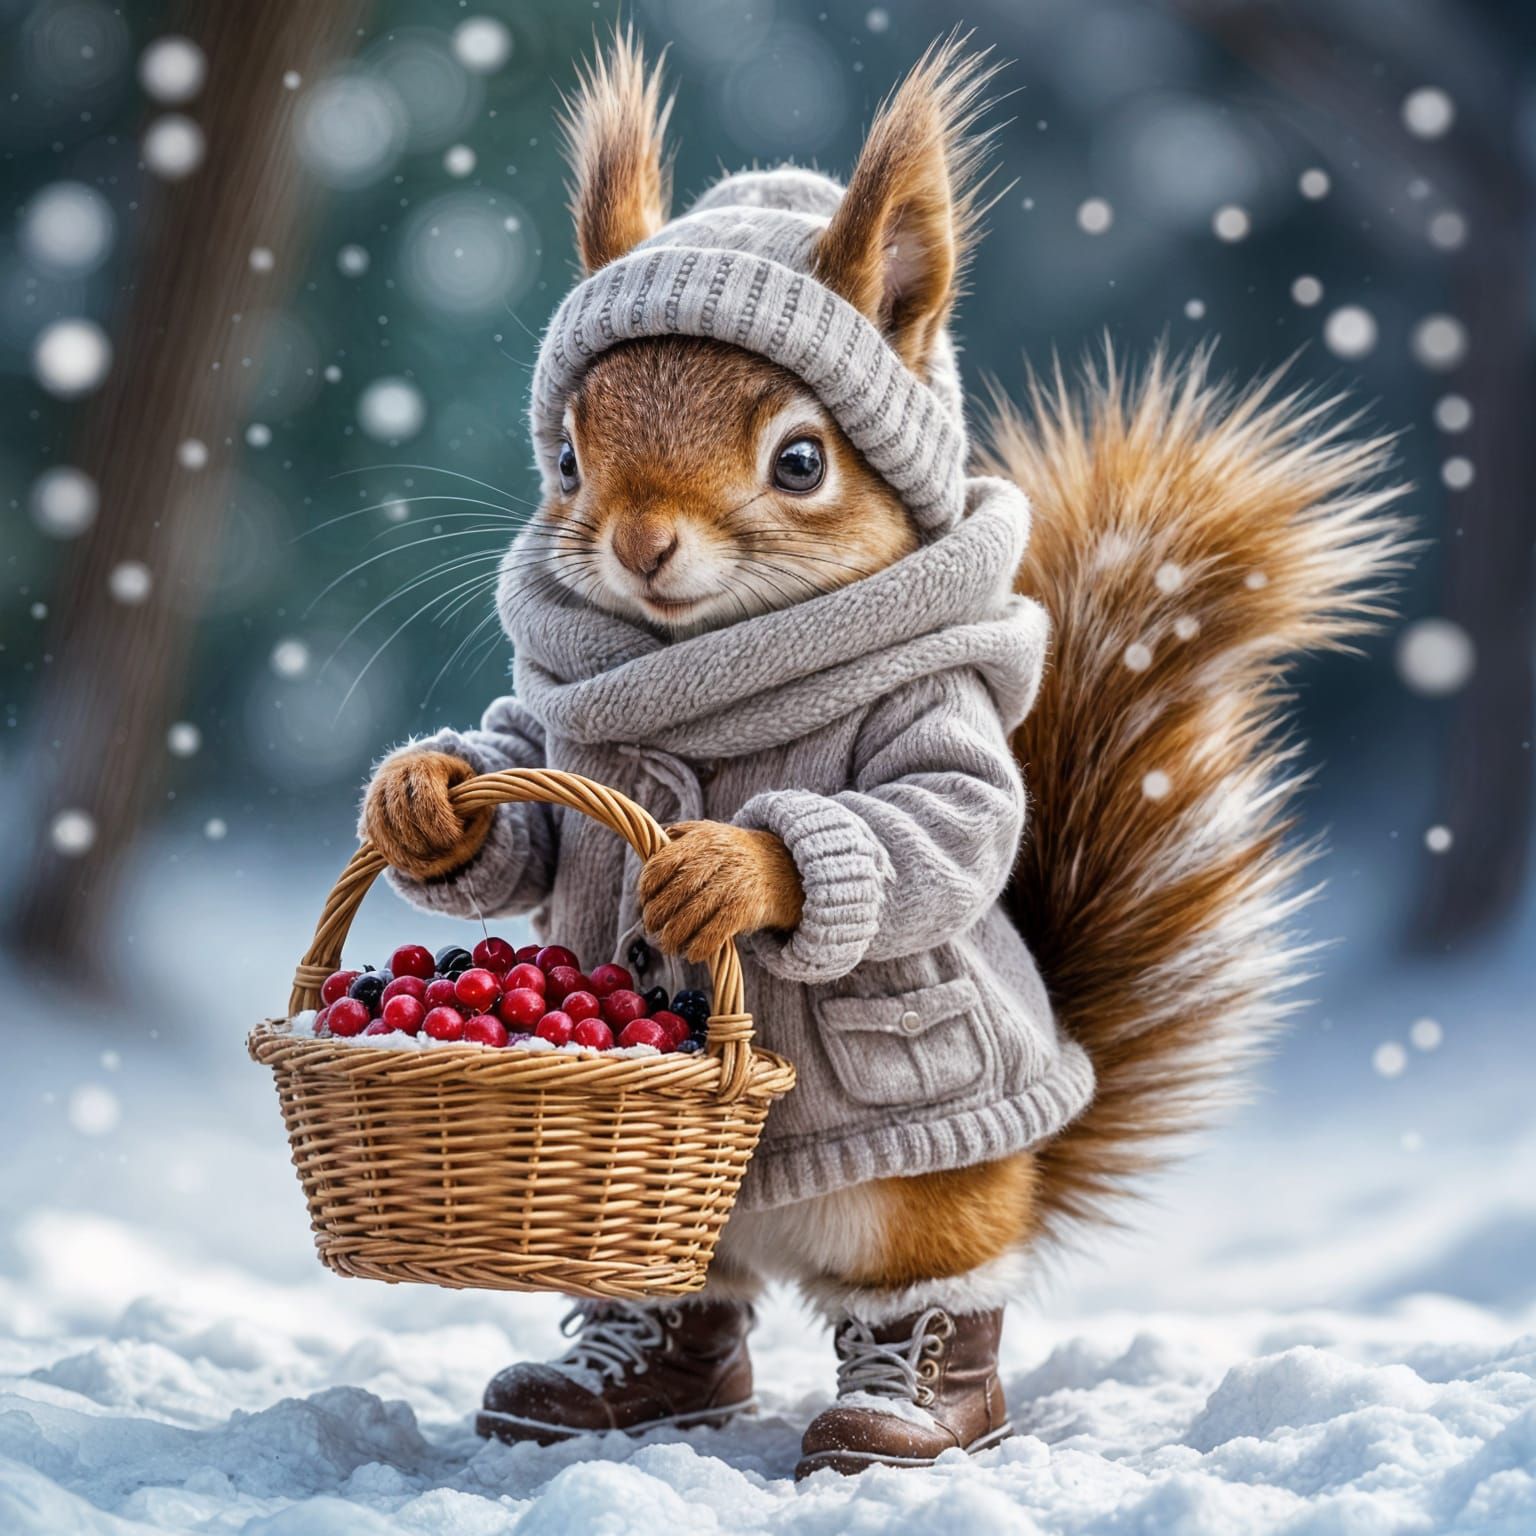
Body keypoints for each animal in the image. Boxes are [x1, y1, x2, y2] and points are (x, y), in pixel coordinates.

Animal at [360, 35, 1408, 1477]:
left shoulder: (936, 722)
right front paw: (424, 800)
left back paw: (900, 1414)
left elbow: (945, 818)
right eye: (567, 456)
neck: (706, 669)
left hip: (920, 1191)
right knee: (700, 1304)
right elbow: (527, 802)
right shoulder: (563, 747)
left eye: (802, 459)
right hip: (682, 1233)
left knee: (926, 1300)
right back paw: (610, 1380)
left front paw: (735, 872)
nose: (638, 542)